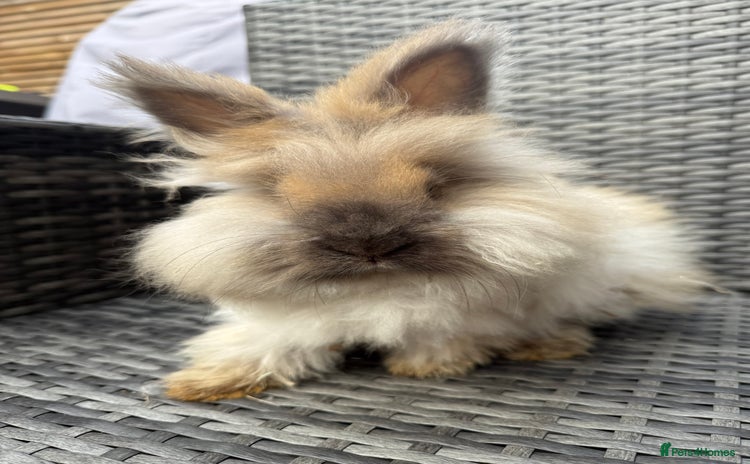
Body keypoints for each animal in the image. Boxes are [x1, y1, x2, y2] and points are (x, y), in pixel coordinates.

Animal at [108, 20, 708, 401]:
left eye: (434, 187)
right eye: (280, 193)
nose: (369, 243)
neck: (378, 288)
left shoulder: (470, 313)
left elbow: (443, 337)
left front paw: (428, 367)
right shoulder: (284, 322)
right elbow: (266, 344)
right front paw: (199, 385)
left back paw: (549, 345)